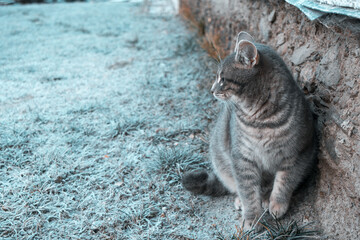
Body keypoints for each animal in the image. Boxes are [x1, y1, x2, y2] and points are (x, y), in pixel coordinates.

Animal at [183, 31, 318, 231]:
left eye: (222, 78)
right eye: (217, 77)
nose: (212, 90)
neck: (262, 121)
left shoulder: (298, 154)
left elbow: (284, 183)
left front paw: (277, 204)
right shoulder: (242, 158)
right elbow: (248, 191)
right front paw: (252, 217)